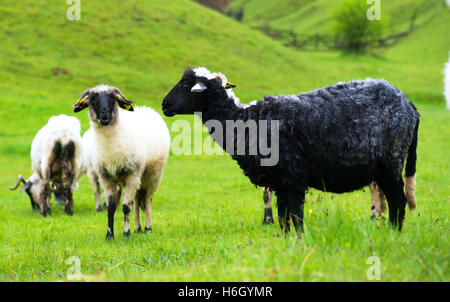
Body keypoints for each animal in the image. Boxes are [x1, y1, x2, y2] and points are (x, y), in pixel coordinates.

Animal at [72, 84, 171, 238]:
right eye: (92, 99)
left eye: (113, 98)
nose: (105, 115)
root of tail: (147, 109)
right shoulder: (106, 177)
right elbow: (111, 207)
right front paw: (109, 235)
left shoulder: (131, 175)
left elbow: (125, 207)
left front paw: (126, 233)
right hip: (138, 179)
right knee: (136, 201)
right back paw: (137, 228)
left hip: (152, 175)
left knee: (147, 200)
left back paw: (147, 228)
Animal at [163, 67, 420, 234]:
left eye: (185, 85)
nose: (164, 105)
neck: (244, 121)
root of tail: (408, 103)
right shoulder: (279, 183)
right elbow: (283, 219)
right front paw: (289, 244)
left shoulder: (294, 177)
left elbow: (296, 217)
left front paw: (301, 242)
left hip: (391, 161)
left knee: (398, 200)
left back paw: (393, 234)